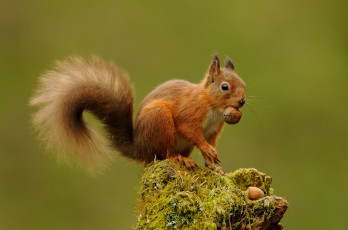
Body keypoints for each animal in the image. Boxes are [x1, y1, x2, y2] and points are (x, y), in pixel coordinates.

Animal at [31, 53, 246, 174]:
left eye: (244, 84)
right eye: (224, 86)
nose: (242, 101)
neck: (213, 106)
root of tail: (139, 148)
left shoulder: (213, 130)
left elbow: (207, 143)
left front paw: (212, 164)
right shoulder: (191, 111)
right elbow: (191, 130)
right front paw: (209, 152)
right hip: (159, 120)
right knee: (164, 154)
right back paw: (180, 159)